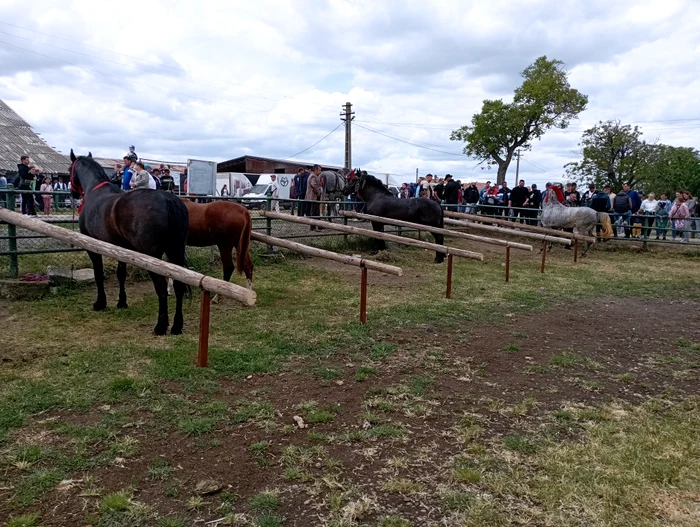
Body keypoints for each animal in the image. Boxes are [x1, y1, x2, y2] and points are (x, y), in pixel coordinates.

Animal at [68, 151, 190, 336]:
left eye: (70, 169)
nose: (73, 194)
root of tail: (167, 199)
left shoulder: (94, 248)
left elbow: (98, 274)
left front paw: (100, 303)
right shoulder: (122, 249)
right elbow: (121, 274)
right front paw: (121, 302)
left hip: (153, 256)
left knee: (161, 287)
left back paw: (161, 326)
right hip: (175, 251)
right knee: (178, 285)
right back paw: (177, 326)